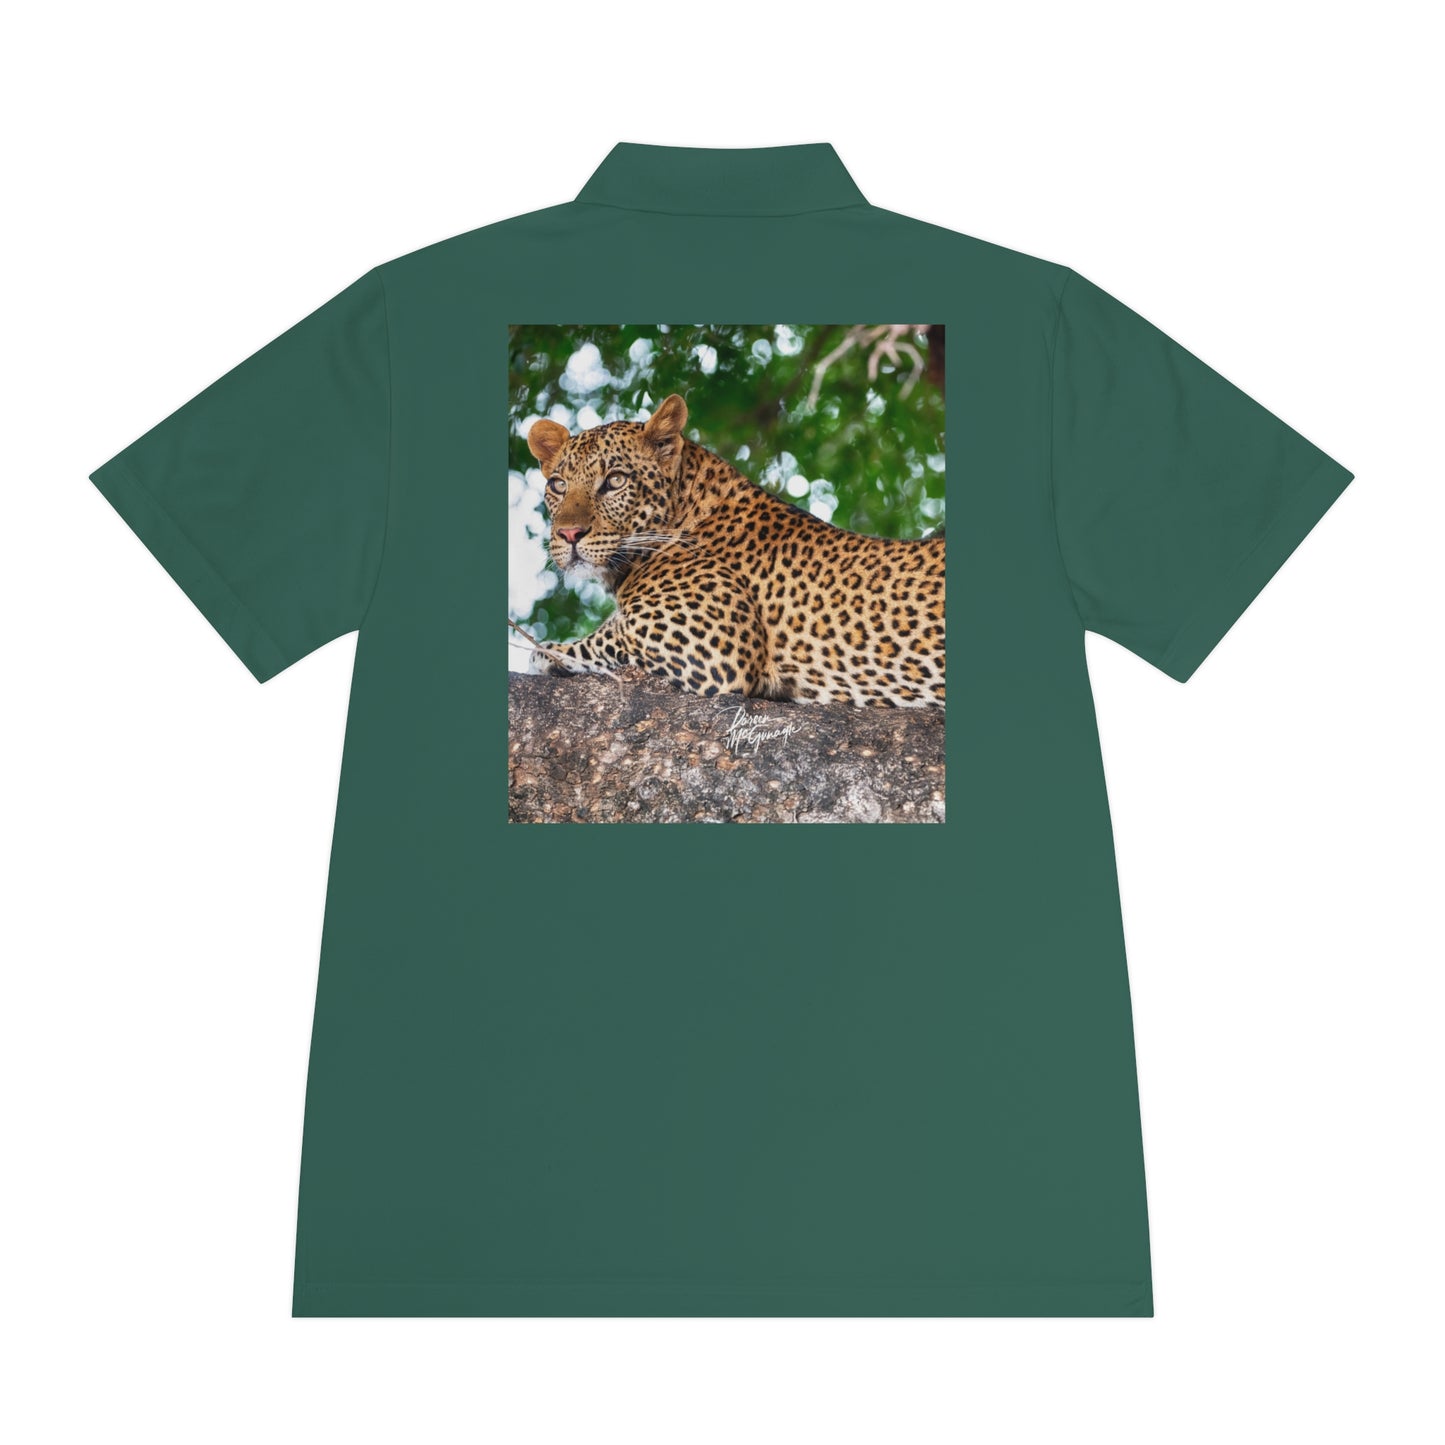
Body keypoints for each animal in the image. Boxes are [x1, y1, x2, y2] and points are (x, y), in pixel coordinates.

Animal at [525, 393, 944, 707]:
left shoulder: (707, 645)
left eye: (614, 481)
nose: (569, 534)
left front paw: (546, 651)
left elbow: (603, 639)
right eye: (559, 485)